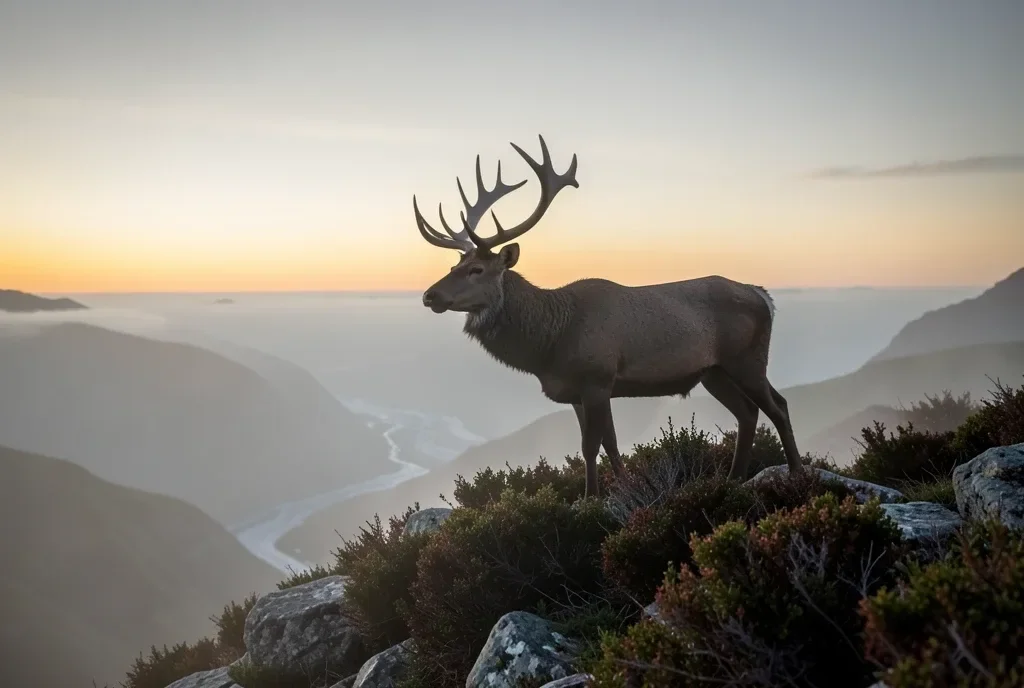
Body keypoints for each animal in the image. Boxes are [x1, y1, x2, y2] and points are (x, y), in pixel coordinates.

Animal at [413, 135, 803, 497]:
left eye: (476, 269)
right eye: (453, 266)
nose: (430, 295)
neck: (550, 345)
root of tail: (763, 296)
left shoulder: (597, 377)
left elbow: (590, 447)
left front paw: (591, 499)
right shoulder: (581, 390)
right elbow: (609, 444)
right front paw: (625, 489)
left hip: (747, 359)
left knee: (778, 406)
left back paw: (797, 473)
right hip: (714, 372)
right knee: (747, 412)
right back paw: (733, 479)